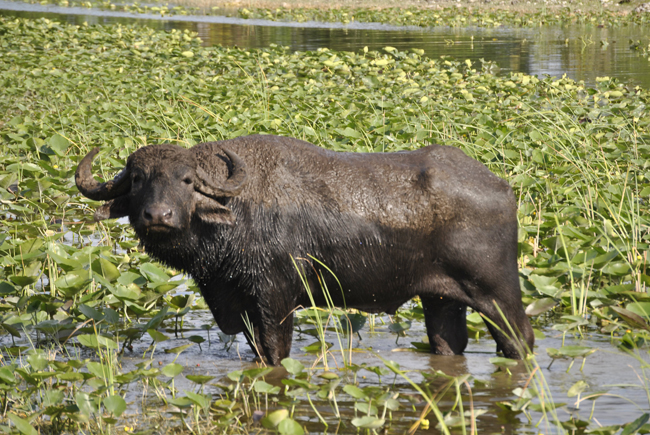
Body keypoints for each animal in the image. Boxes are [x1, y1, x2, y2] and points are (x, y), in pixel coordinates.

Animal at [76, 135, 532, 364]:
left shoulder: (275, 299)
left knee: (520, 339)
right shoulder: (242, 303)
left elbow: (276, 352)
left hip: (498, 294)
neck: (236, 213)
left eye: (187, 180)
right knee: (448, 344)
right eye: (138, 179)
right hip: (440, 299)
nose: (158, 215)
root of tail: (502, 188)